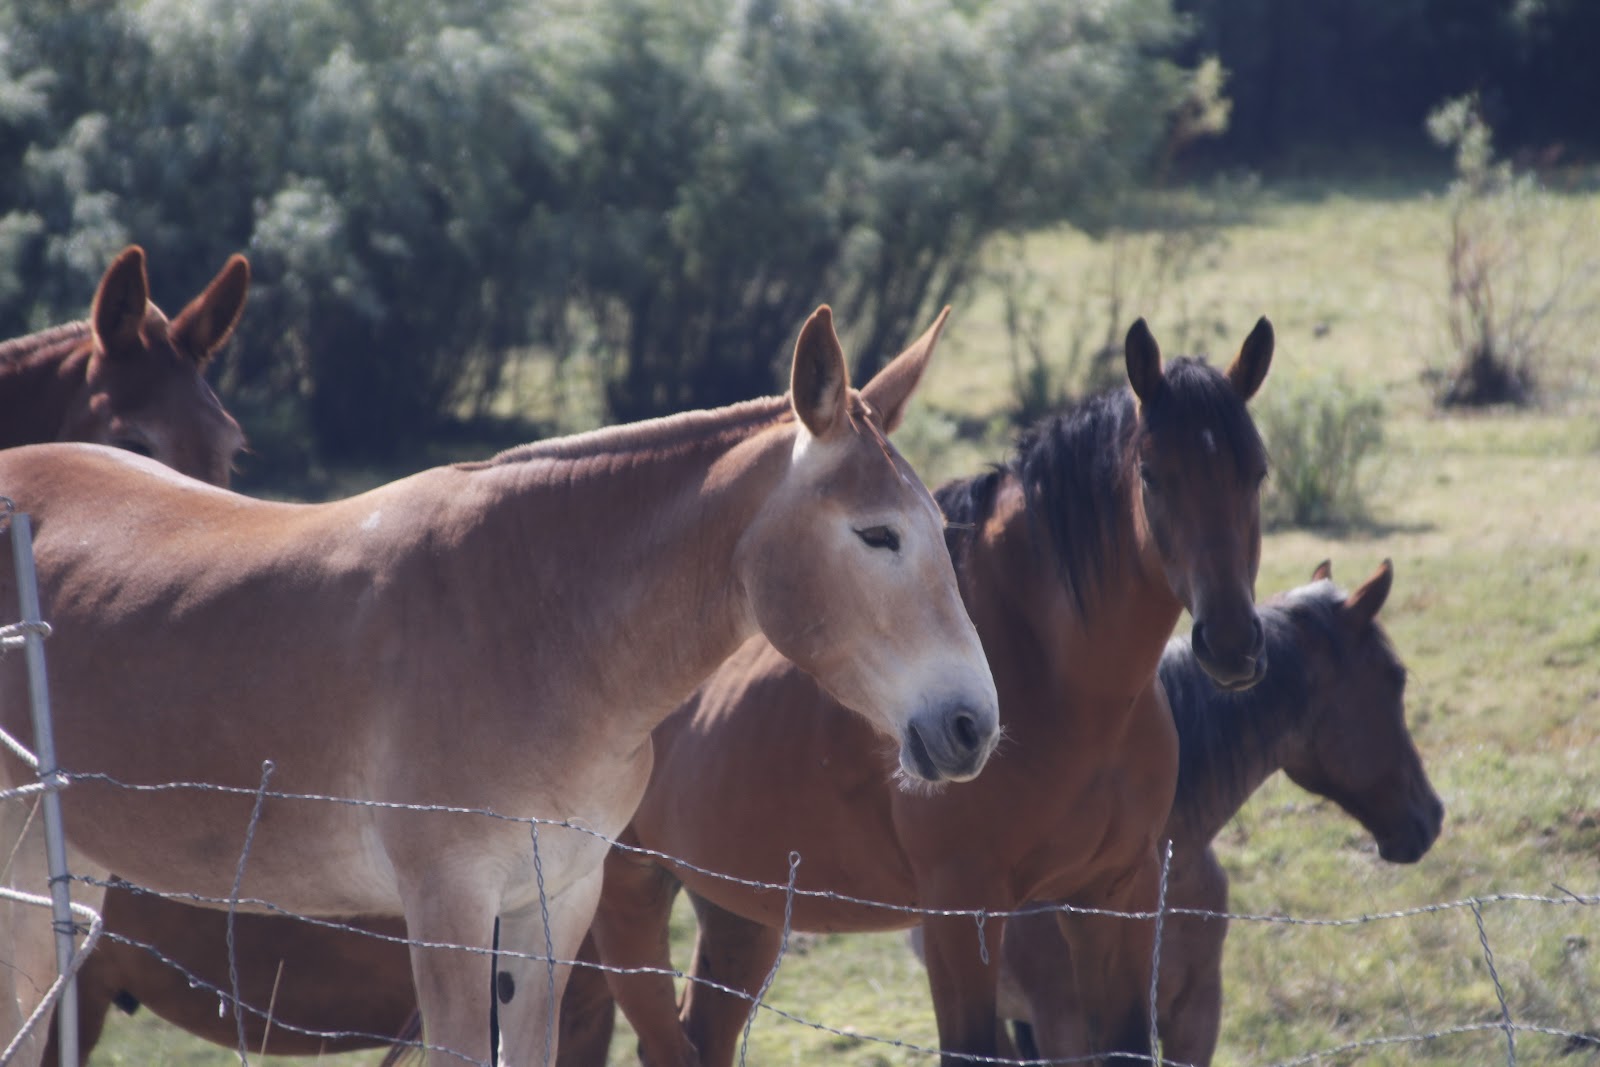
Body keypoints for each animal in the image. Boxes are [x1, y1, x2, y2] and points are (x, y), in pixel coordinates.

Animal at [582, 317, 1275, 1066]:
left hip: (737, 912)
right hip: (625, 896)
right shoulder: (963, 911)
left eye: (1257, 472)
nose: (1230, 641)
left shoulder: (1118, 894)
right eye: (1153, 474)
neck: (1066, 687)